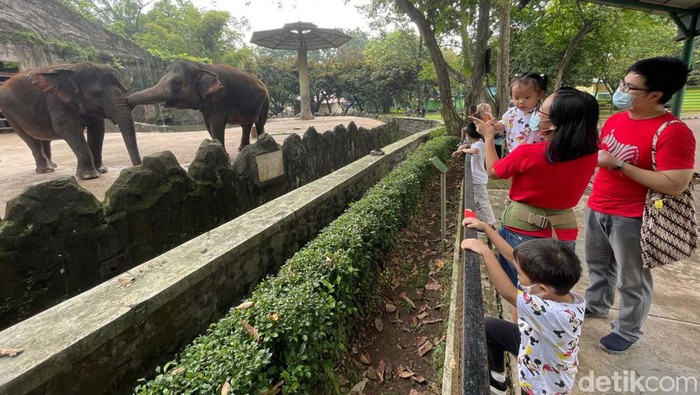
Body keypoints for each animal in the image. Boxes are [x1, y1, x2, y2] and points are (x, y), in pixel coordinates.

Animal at [0, 63, 141, 179]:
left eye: (125, 90)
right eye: (97, 94)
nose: (137, 168)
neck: (74, 69)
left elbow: (98, 130)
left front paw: (101, 170)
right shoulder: (57, 102)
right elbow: (68, 130)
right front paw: (89, 176)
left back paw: (53, 166)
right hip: (9, 114)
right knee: (30, 139)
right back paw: (46, 170)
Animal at [127, 60, 270, 153]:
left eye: (177, 83)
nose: (128, 102)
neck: (200, 66)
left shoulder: (219, 99)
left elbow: (216, 125)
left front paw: (224, 155)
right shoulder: (207, 106)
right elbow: (208, 125)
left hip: (265, 102)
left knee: (259, 123)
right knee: (246, 125)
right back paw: (242, 149)